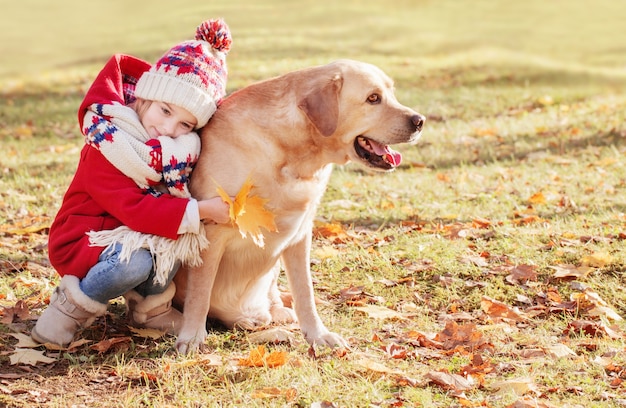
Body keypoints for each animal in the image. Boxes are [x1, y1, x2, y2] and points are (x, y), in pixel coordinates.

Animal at [171, 59, 424, 352]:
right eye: (373, 98)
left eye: (391, 93)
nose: (420, 121)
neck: (293, 156)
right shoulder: (211, 233)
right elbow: (199, 295)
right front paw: (192, 337)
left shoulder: (300, 233)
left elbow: (305, 292)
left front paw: (318, 334)